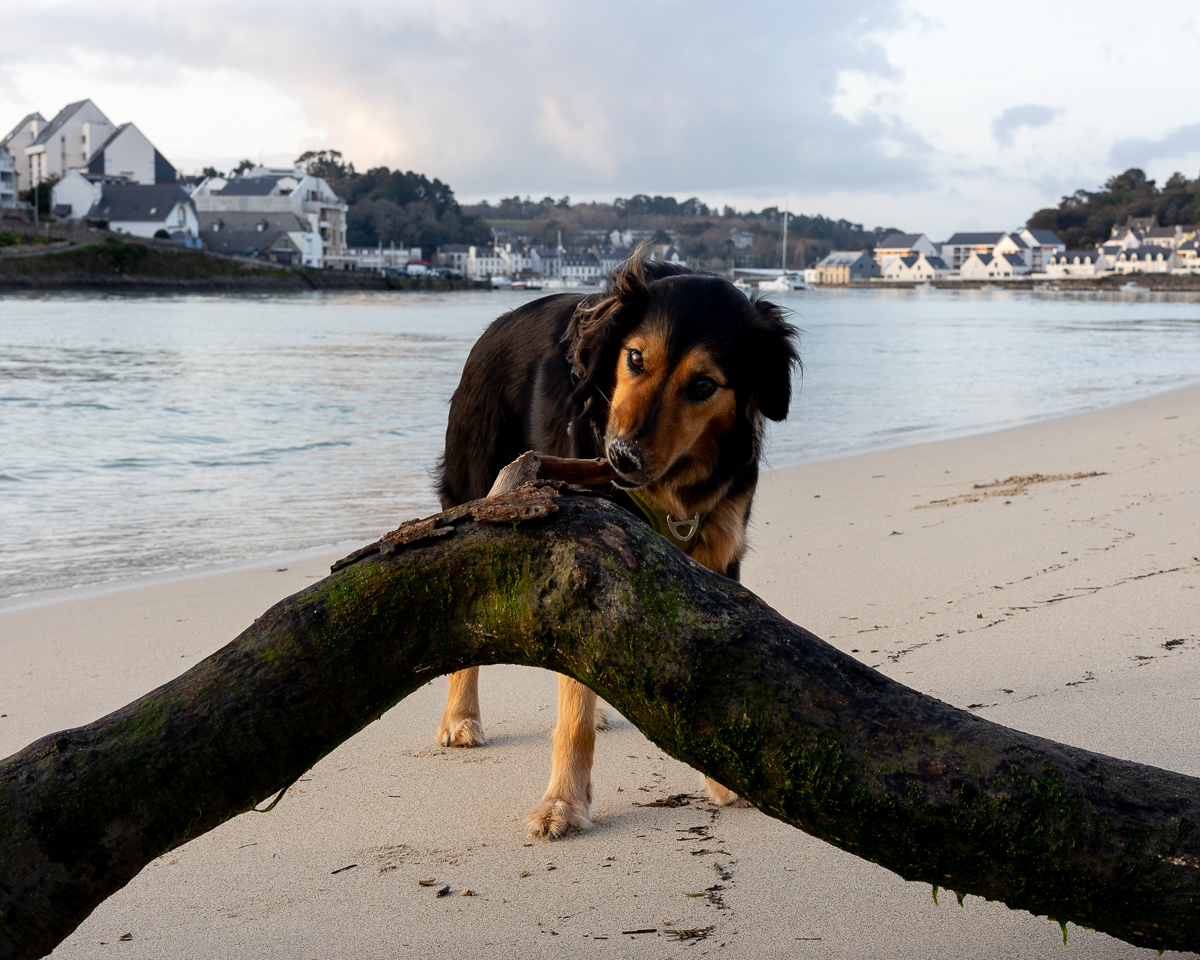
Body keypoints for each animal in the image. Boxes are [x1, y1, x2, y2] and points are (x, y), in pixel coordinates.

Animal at [434, 250, 796, 835]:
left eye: (704, 385)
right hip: (477, 488)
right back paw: (461, 717)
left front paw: (723, 779)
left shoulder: (718, 554)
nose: (620, 456)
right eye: (635, 358)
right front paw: (563, 801)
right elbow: (571, 714)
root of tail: (496, 325)